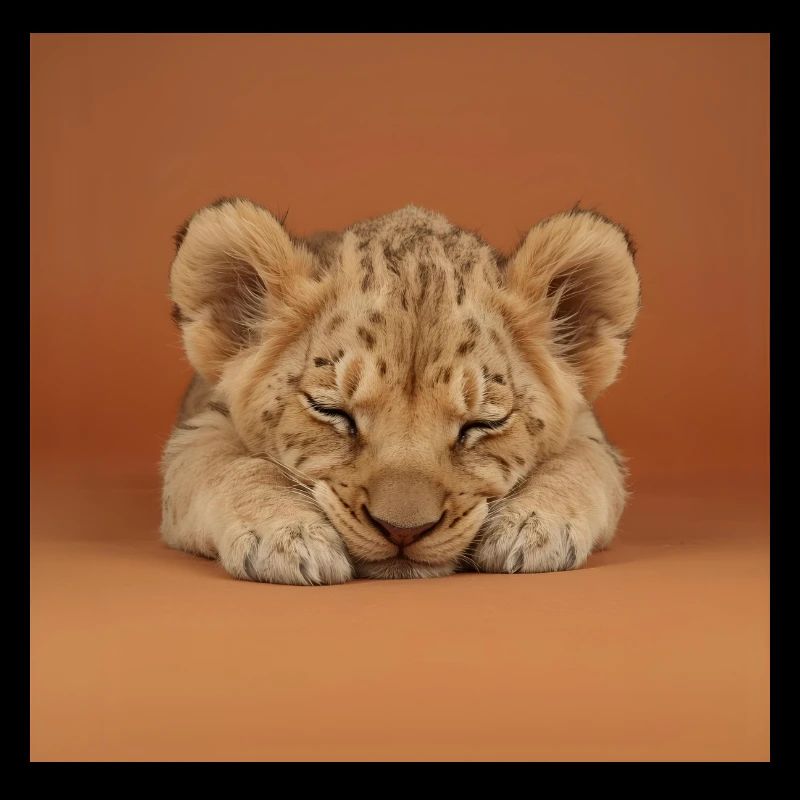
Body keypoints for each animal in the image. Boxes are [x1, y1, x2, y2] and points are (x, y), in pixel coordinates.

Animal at [161, 198, 640, 584]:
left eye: (482, 424)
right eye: (331, 411)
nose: (403, 531)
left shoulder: (589, 431)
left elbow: (578, 464)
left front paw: (535, 526)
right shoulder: (198, 429)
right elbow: (232, 467)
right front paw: (284, 536)